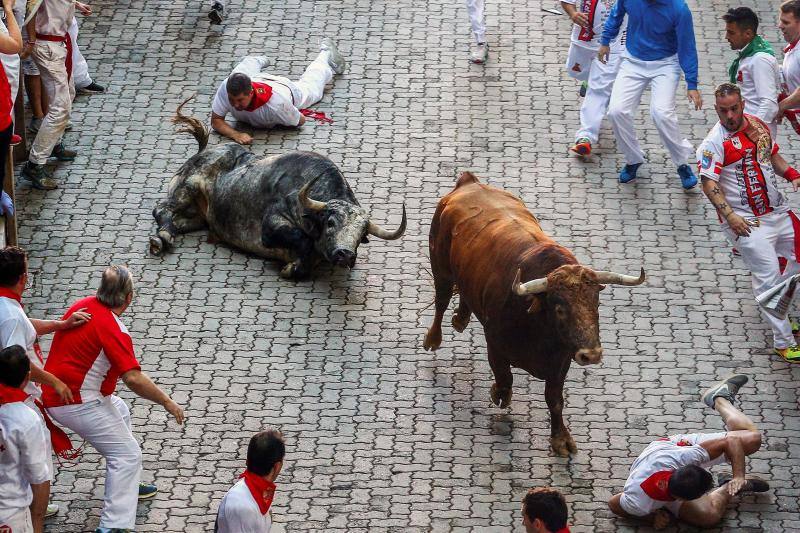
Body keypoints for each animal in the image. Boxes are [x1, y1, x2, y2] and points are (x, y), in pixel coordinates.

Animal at [148, 98, 406, 278]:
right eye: (331, 222)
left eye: (361, 234)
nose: (345, 254)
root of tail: (203, 151)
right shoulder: (271, 225)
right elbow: (300, 244)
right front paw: (291, 267)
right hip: (187, 187)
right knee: (162, 210)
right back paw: (162, 238)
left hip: (200, 217)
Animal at [424, 172, 644, 456]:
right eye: (560, 309)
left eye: (595, 304)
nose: (591, 354)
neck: (538, 327)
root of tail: (469, 182)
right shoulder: (495, 343)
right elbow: (504, 377)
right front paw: (499, 394)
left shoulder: (562, 359)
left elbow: (555, 399)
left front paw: (560, 438)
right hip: (439, 265)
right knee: (441, 300)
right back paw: (434, 337)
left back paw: (461, 317)